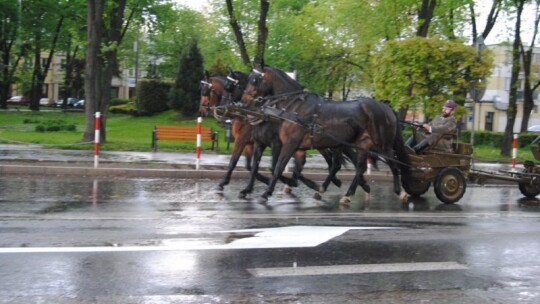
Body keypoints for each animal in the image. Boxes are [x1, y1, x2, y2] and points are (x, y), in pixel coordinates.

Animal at [240, 67, 410, 204]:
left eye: (254, 80)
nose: (243, 102)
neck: (295, 107)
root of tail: (386, 107)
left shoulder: (288, 144)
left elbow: (277, 167)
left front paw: (266, 193)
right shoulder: (295, 147)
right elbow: (283, 168)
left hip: (382, 145)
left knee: (393, 164)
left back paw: (400, 192)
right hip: (361, 144)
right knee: (358, 167)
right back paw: (346, 193)